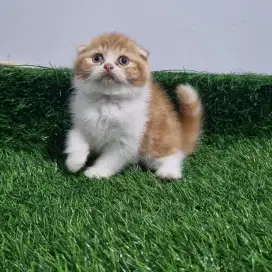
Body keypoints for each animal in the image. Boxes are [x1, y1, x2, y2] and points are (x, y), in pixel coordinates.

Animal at [65, 31, 203, 180]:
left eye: (123, 60)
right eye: (97, 58)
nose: (108, 66)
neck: (107, 101)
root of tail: (179, 137)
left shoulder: (127, 140)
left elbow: (110, 159)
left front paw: (97, 172)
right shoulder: (81, 124)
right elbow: (76, 140)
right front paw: (74, 162)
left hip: (157, 139)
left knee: (174, 153)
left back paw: (169, 172)